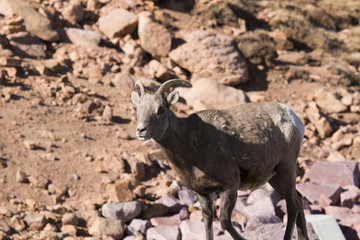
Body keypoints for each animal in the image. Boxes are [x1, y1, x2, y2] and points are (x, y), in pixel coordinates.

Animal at [131, 79, 310, 240]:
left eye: (161, 108)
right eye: (138, 108)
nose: (141, 130)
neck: (188, 143)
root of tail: (293, 118)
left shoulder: (229, 187)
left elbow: (224, 221)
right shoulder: (202, 193)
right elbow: (208, 221)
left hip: (286, 169)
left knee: (293, 205)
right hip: (275, 178)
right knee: (299, 199)